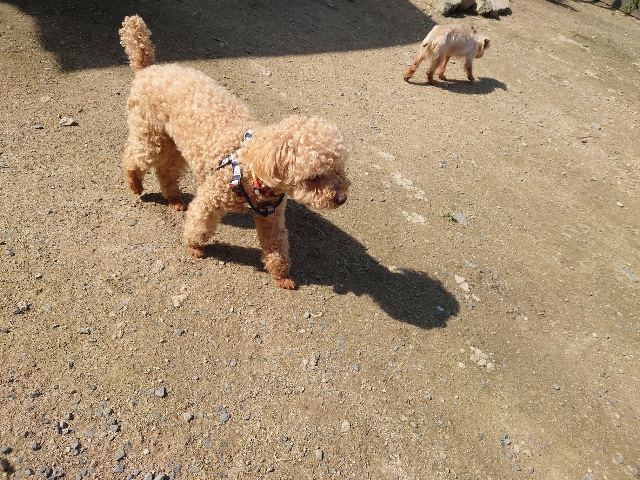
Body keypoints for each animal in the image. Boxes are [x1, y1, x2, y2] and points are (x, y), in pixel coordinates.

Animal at [119, 15, 350, 290]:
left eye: (339, 170)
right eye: (314, 177)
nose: (342, 199)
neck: (251, 169)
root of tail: (149, 68)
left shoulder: (271, 218)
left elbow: (277, 246)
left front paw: (282, 276)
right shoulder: (210, 199)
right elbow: (199, 224)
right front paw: (194, 247)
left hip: (175, 144)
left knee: (166, 171)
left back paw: (174, 199)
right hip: (150, 134)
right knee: (134, 157)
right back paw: (134, 184)